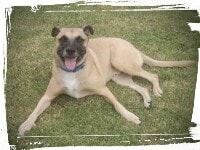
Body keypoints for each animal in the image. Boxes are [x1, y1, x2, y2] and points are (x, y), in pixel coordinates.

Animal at [18, 25, 194, 136]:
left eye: (80, 39)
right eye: (62, 39)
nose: (70, 51)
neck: (73, 71)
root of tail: (134, 47)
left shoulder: (104, 90)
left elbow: (118, 105)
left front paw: (130, 116)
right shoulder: (47, 97)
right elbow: (35, 111)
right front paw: (26, 125)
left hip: (122, 63)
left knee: (153, 75)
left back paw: (156, 90)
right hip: (121, 79)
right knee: (142, 87)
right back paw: (147, 100)